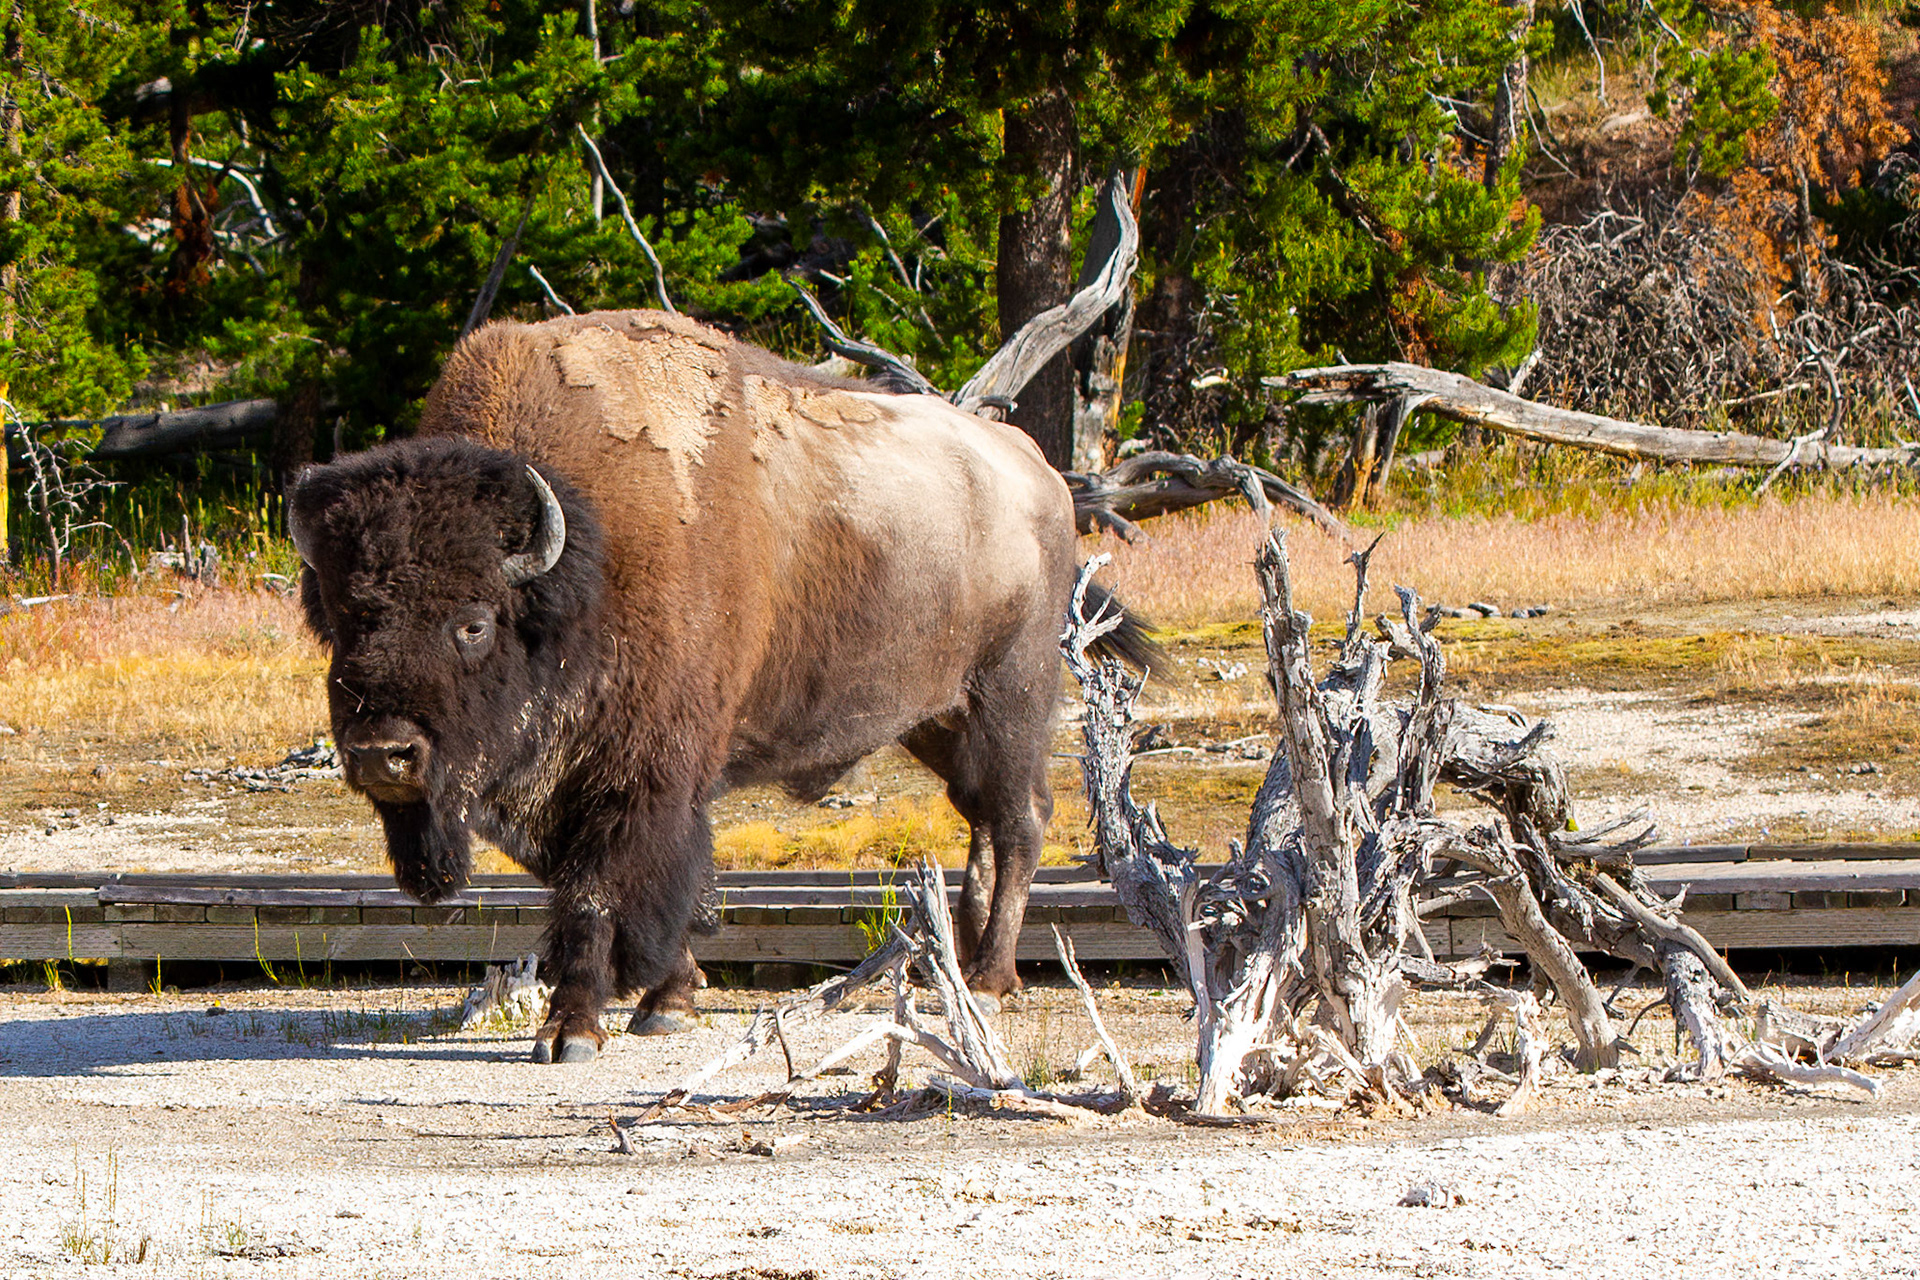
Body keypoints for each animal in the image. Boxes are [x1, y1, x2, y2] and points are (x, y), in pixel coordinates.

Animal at [288, 309, 1152, 1063]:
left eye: (472, 623)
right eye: (340, 620)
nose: (382, 754)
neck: (583, 563)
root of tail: (1040, 474)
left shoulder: (638, 777)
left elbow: (600, 892)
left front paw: (571, 1033)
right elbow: (623, 888)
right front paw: (669, 999)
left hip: (1009, 695)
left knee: (1020, 820)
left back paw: (992, 980)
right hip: (936, 718)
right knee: (981, 821)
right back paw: (963, 964)